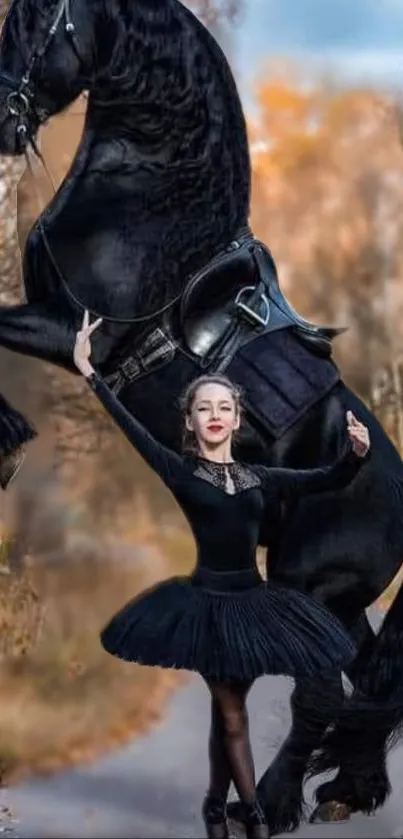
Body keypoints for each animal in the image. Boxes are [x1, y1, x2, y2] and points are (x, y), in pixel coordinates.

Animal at [0, 0, 403, 832]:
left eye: (44, 20)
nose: (3, 120)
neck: (150, 207)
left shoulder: (64, 328)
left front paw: (7, 437)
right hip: (337, 598)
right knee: (363, 682)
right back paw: (342, 790)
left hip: (310, 584)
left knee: (320, 695)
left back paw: (276, 803)